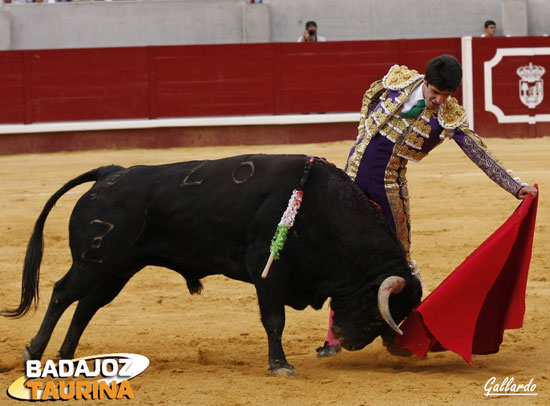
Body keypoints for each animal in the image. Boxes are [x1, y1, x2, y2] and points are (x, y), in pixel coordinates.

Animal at [2, 154, 422, 376]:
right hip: (94, 261)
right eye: (383, 309)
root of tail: (110, 172)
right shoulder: (267, 271)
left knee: (86, 305)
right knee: (62, 294)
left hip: (117, 269)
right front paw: (279, 365)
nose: (351, 342)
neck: (322, 209)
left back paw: (66, 357)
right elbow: (274, 320)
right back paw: (34, 352)